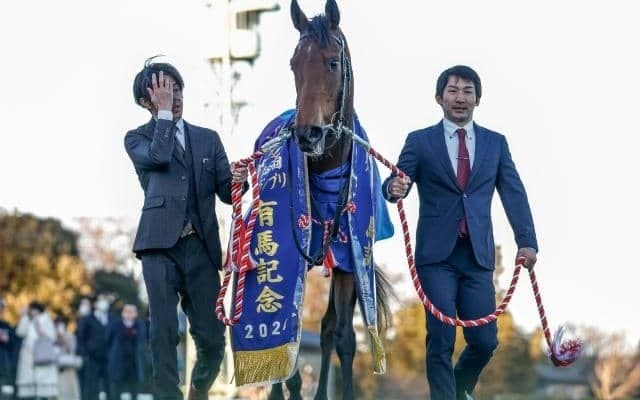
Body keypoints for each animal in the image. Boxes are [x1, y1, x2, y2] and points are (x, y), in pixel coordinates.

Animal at [267, 1, 395, 399]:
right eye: (294, 63)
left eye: (332, 62)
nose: (308, 134)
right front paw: (291, 384)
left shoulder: (349, 254)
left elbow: (341, 336)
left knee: (326, 328)